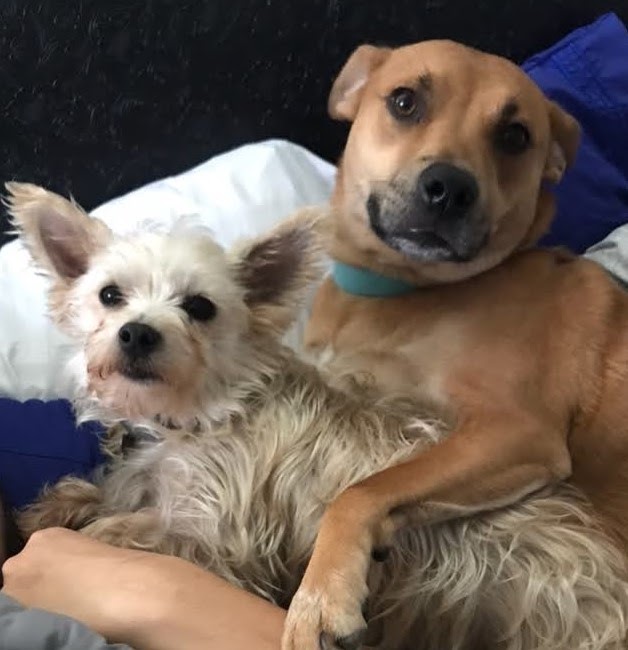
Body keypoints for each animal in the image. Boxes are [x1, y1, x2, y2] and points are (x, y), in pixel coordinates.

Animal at [282, 41, 628, 648]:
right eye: (404, 101)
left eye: (514, 135)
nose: (450, 188)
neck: (400, 291)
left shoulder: (515, 432)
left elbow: (361, 490)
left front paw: (320, 596)